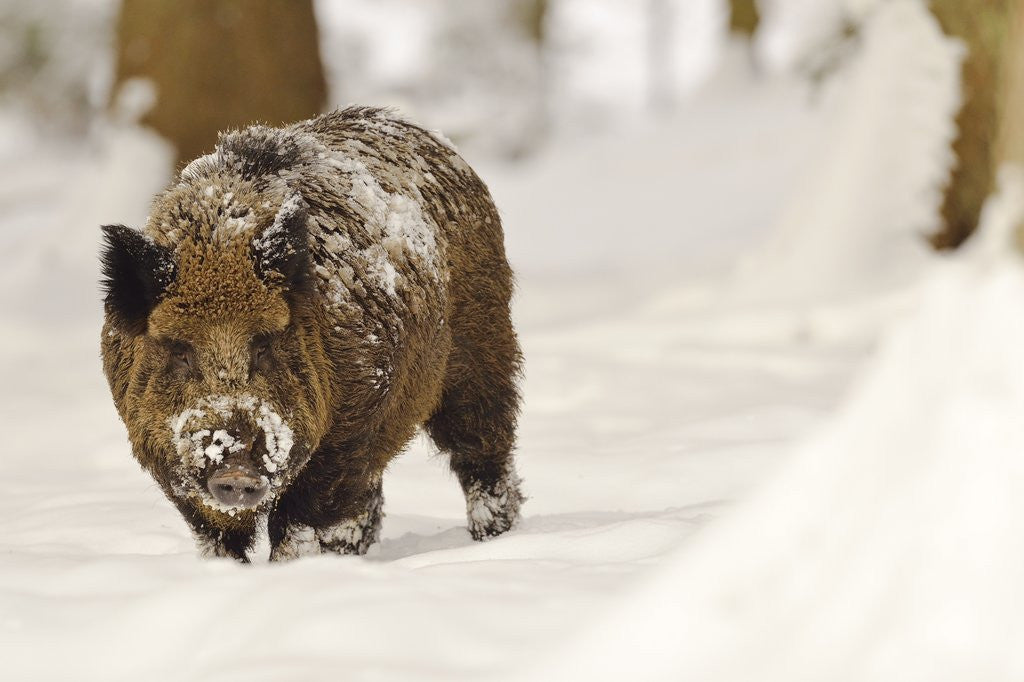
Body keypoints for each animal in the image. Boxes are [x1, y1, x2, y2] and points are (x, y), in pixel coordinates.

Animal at [100, 107, 524, 562]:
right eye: (180, 350)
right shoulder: (159, 448)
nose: (236, 470)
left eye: (264, 344)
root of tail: (436, 140)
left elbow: (298, 520)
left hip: (482, 348)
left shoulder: (352, 424)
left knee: (483, 452)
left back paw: (494, 537)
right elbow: (217, 535)